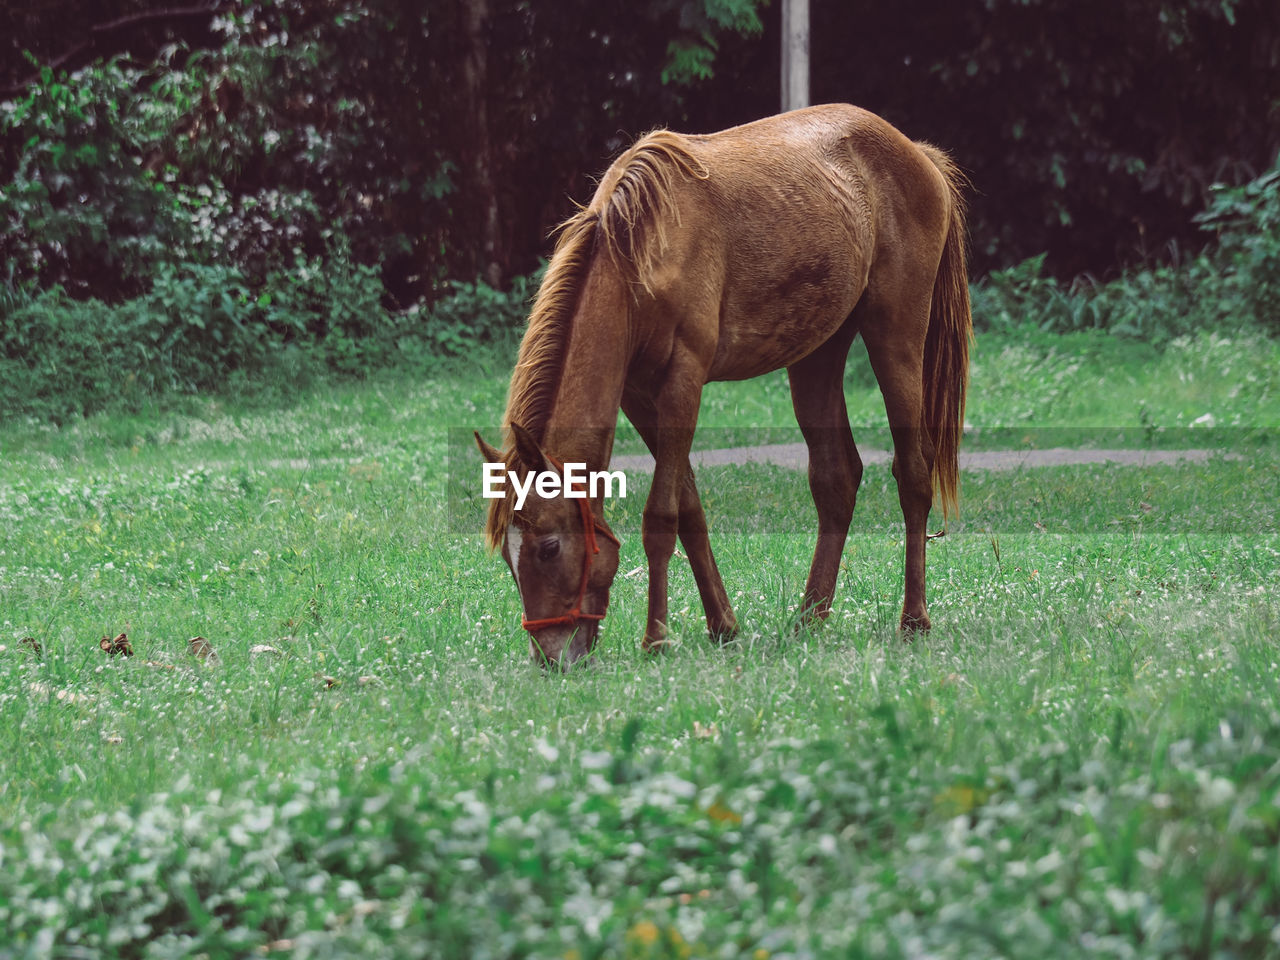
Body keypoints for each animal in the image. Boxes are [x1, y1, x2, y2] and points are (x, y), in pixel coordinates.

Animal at [473, 101, 967, 665]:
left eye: (549, 546)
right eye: (508, 557)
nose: (552, 657)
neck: (639, 249)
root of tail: (918, 154)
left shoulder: (683, 380)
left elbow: (661, 515)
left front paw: (657, 638)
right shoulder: (640, 397)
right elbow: (689, 509)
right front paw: (723, 626)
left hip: (896, 339)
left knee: (914, 474)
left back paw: (914, 620)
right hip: (817, 356)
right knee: (837, 479)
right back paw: (807, 618)